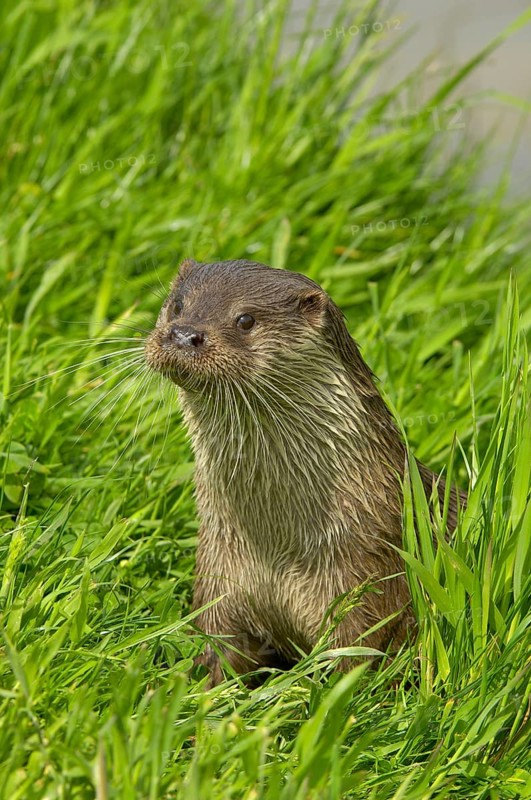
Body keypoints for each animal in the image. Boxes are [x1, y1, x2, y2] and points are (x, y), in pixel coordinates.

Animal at [145, 258, 464, 686]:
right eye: (178, 305)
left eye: (245, 319)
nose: (183, 334)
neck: (278, 544)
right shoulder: (220, 580)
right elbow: (219, 650)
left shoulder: (369, 583)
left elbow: (356, 663)